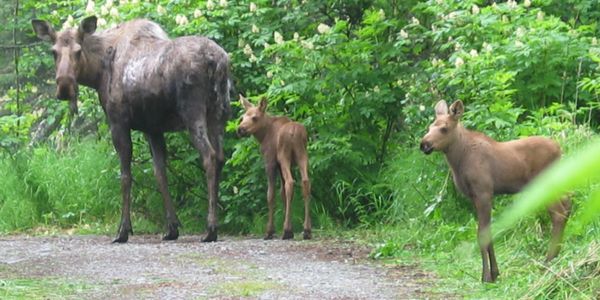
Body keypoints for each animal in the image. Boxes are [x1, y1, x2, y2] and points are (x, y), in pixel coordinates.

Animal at [32, 15, 232, 243]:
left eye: (78, 50)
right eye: (53, 51)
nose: (64, 87)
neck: (97, 73)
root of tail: (217, 62)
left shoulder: (118, 122)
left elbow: (126, 176)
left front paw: (123, 230)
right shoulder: (153, 128)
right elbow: (160, 173)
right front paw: (172, 228)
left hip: (194, 113)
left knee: (209, 156)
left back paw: (211, 229)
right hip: (220, 114)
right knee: (221, 157)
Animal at [237, 96, 312, 241]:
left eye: (254, 117)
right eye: (242, 117)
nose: (240, 129)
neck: (262, 135)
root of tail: (294, 132)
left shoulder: (270, 161)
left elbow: (270, 195)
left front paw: (270, 231)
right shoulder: (281, 165)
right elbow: (283, 194)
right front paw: (291, 229)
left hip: (284, 156)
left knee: (290, 182)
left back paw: (286, 231)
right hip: (302, 155)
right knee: (305, 182)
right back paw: (307, 230)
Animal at [422, 99, 572, 282]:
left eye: (444, 128)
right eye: (429, 127)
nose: (424, 144)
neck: (458, 160)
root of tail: (560, 150)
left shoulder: (483, 193)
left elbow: (482, 234)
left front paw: (486, 276)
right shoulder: (476, 196)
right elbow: (489, 231)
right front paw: (495, 273)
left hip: (545, 183)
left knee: (558, 213)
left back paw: (548, 260)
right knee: (567, 204)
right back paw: (556, 255)